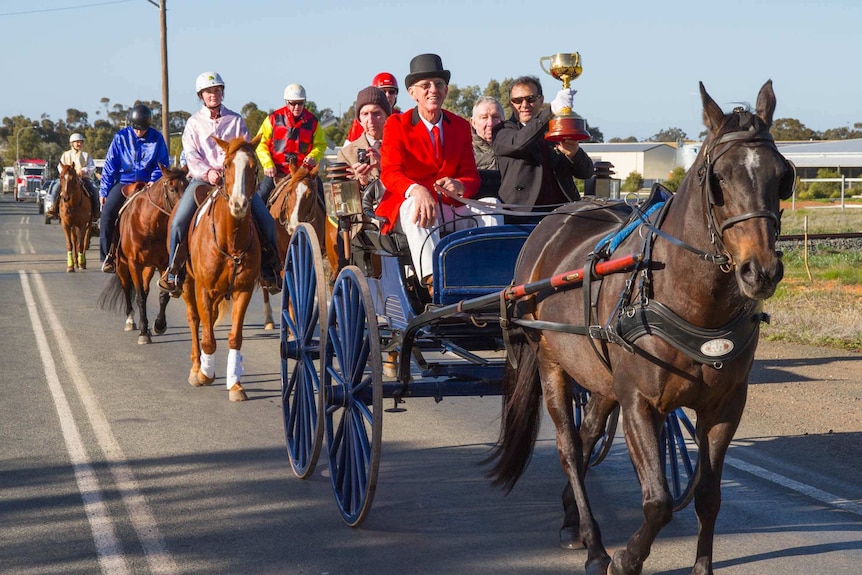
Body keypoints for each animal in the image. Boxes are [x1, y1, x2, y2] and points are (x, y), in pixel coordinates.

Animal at [99, 165, 191, 342]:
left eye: (188, 185)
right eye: (172, 189)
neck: (149, 223)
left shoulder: (163, 264)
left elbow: (163, 295)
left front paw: (159, 325)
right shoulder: (134, 264)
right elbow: (139, 296)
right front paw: (143, 332)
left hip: (148, 267)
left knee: (146, 289)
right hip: (122, 266)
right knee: (127, 289)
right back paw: (130, 320)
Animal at [486, 81, 796, 575]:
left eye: (783, 175)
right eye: (719, 178)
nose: (761, 271)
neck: (691, 301)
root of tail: (553, 222)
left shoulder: (725, 406)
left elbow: (708, 498)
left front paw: (702, 567)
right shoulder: (638, 401)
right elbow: (658, 501)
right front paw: (626, 559)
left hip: (599, 375)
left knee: (587, 436)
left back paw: (573, 521)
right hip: (552, 363)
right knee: (569, 448)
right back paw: (595, 546)